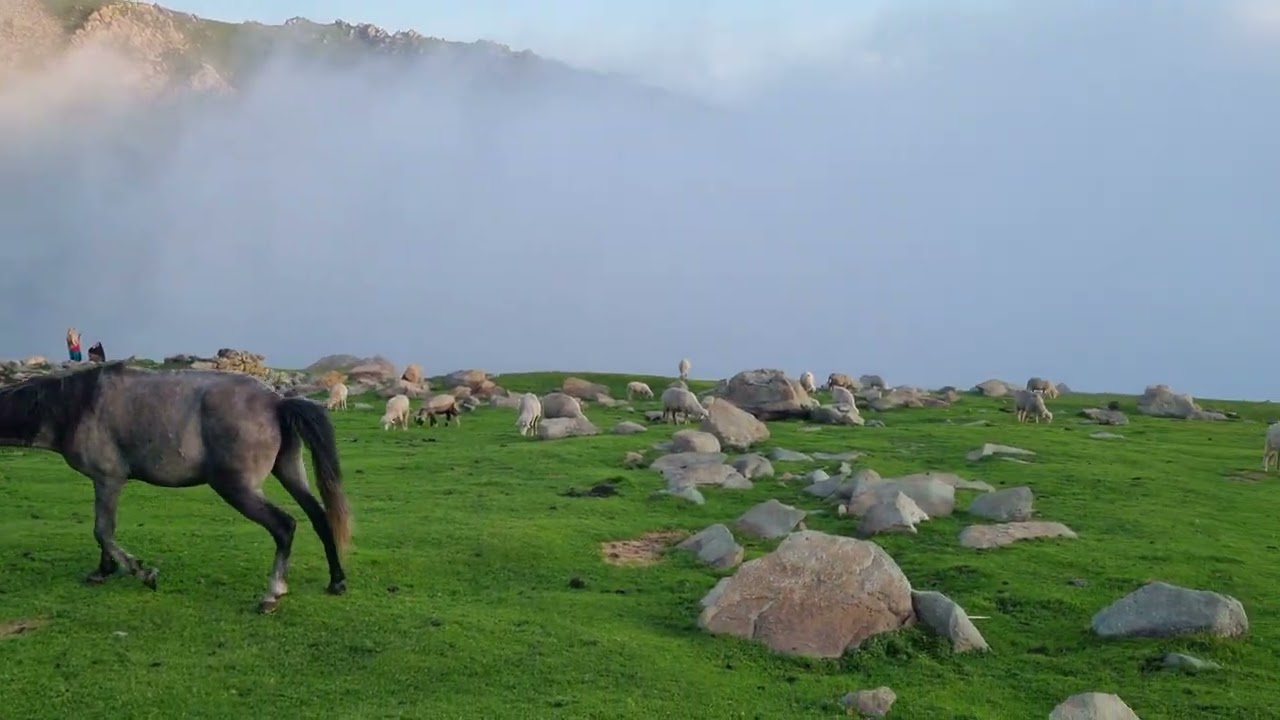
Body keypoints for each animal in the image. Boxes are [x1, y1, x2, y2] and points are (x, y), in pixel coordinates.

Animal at [0, 361, 352, 613]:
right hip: (289, 472)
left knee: (284, 526)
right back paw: (336, 580)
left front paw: (141, 572)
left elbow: (103, 531)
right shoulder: (104, 483)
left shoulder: (108, 479)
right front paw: (104, 570)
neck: (77, 405)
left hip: (237, 489)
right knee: (320, 517)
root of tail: (277, 402)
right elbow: (104, 531)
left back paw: (272, 594)